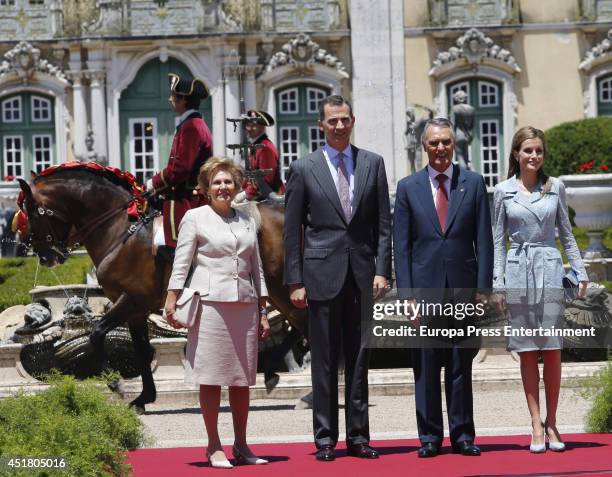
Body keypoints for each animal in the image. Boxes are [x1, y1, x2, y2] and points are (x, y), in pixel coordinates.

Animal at [16, 163, 306, 410]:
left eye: (30, 210)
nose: (43, 255)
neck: (120, 229)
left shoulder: (131, 299)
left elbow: (96, 333)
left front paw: (115, 381)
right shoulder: (136, 310)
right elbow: (142, 350)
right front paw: (144, 396)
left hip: (281, 287)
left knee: (303, 323)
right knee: (300, 325)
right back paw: (275, 373)